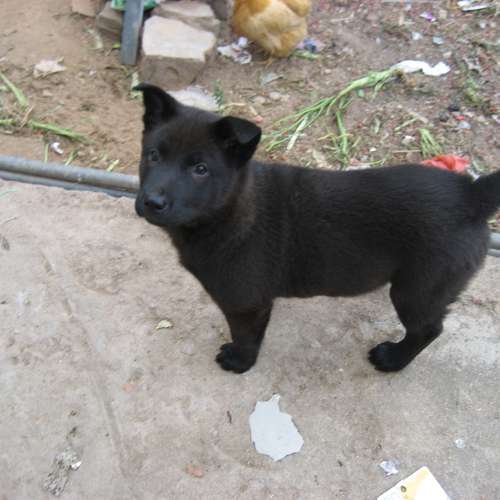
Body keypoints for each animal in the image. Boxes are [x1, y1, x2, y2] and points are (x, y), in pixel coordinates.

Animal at [134, 83, 500, 374]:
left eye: (200, 169)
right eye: (152, 155)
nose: (152, 201)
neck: (228, 211)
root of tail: (472, 194)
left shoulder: (245, 302)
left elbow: (246, 336)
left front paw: (239, 362)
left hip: (420, 287)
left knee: (427, 330)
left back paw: (392, 359)